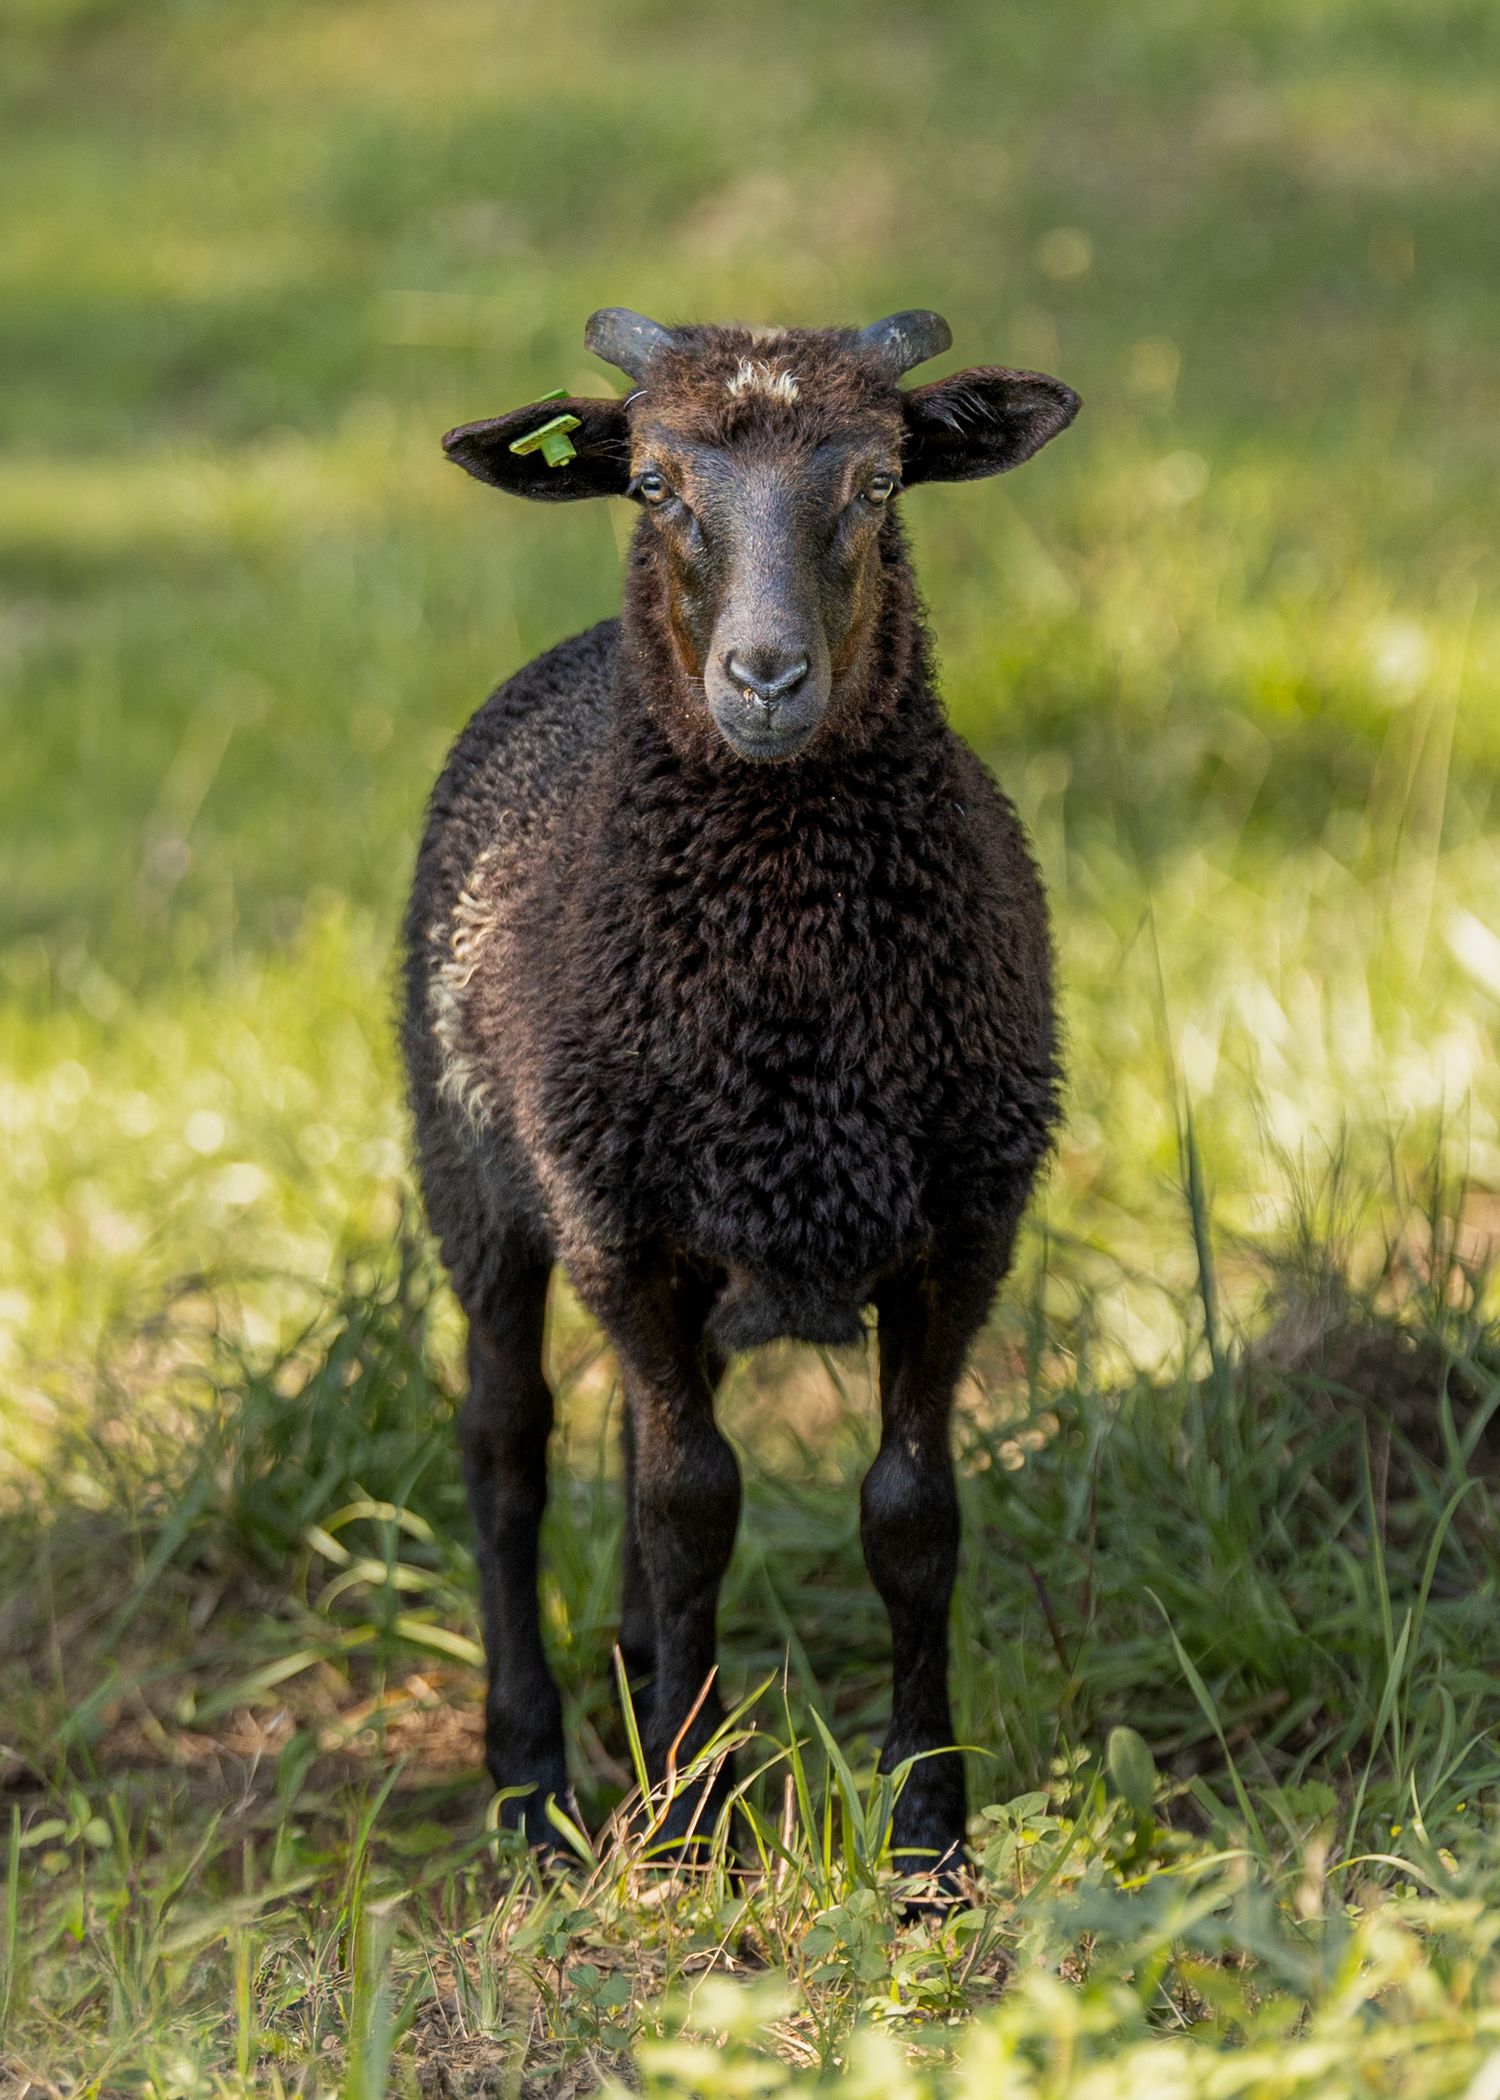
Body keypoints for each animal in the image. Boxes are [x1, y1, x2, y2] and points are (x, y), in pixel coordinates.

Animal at [401, 307, 1080, 1882]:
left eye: (880, 484)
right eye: (653, 487)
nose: (766, 678)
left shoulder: (964, 1230)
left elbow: (909, 1516)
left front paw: (926, 1834)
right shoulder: (620, 1229)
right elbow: (687, 1505)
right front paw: (687, 1829)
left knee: (647, 1426)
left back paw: (648, 1689)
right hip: (477, 1181)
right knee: (508, 1444)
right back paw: (534, 1778)